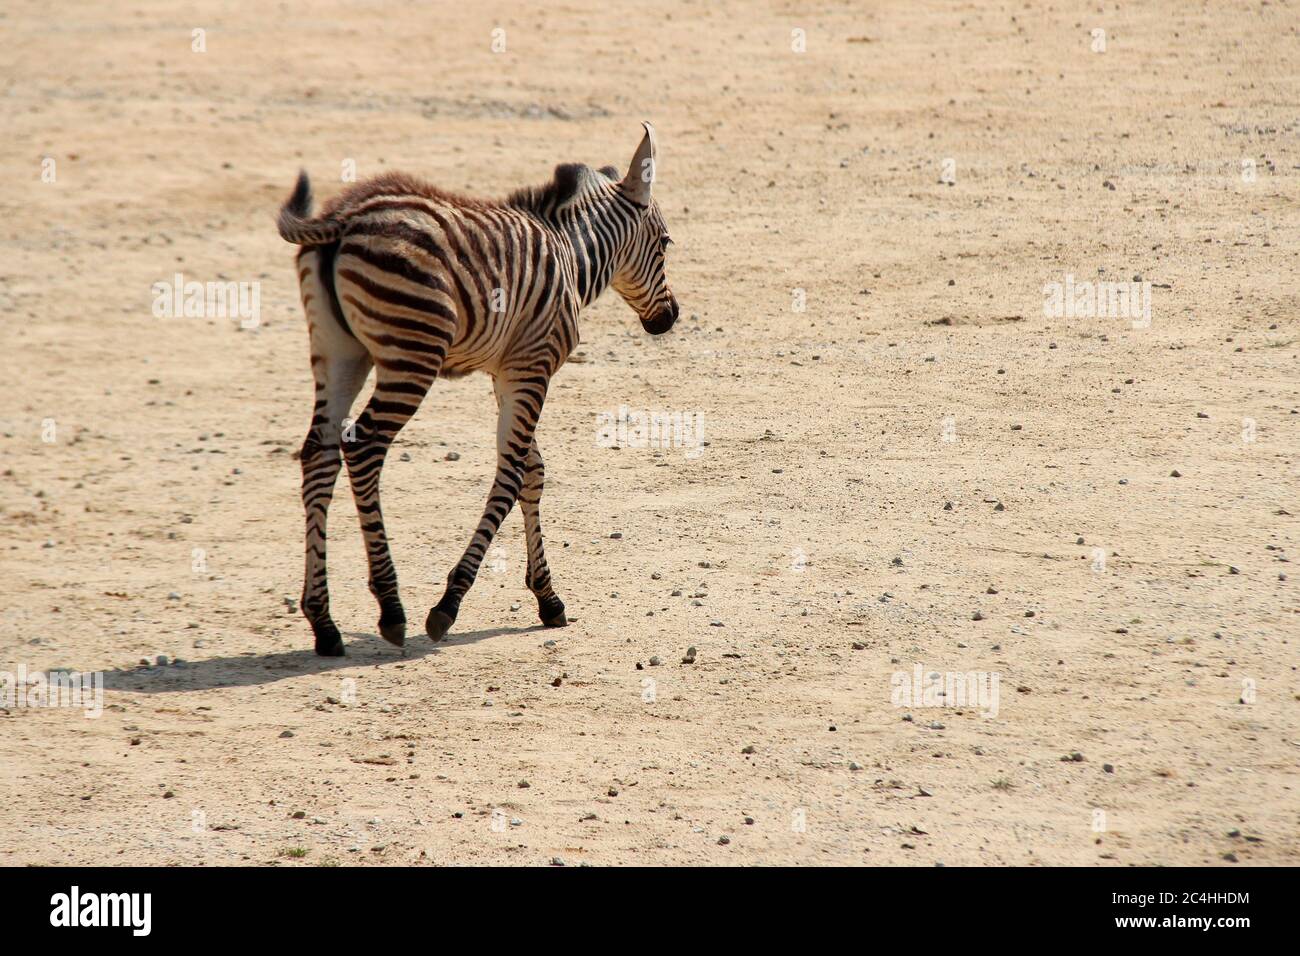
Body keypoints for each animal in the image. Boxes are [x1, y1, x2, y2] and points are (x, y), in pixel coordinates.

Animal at [275, 123, 681, 655]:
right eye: (666, 243)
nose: (670, 318)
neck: (570, 253)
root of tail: (344, 217)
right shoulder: (532, 366)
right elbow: (511, 476)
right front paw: (449, 602)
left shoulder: (508, 371)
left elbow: (533, 472)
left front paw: (547, 597)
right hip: (411, 353)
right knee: (363, 449)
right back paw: (391, 606)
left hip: (339, 353)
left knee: (318, 456)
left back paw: (323, 623)